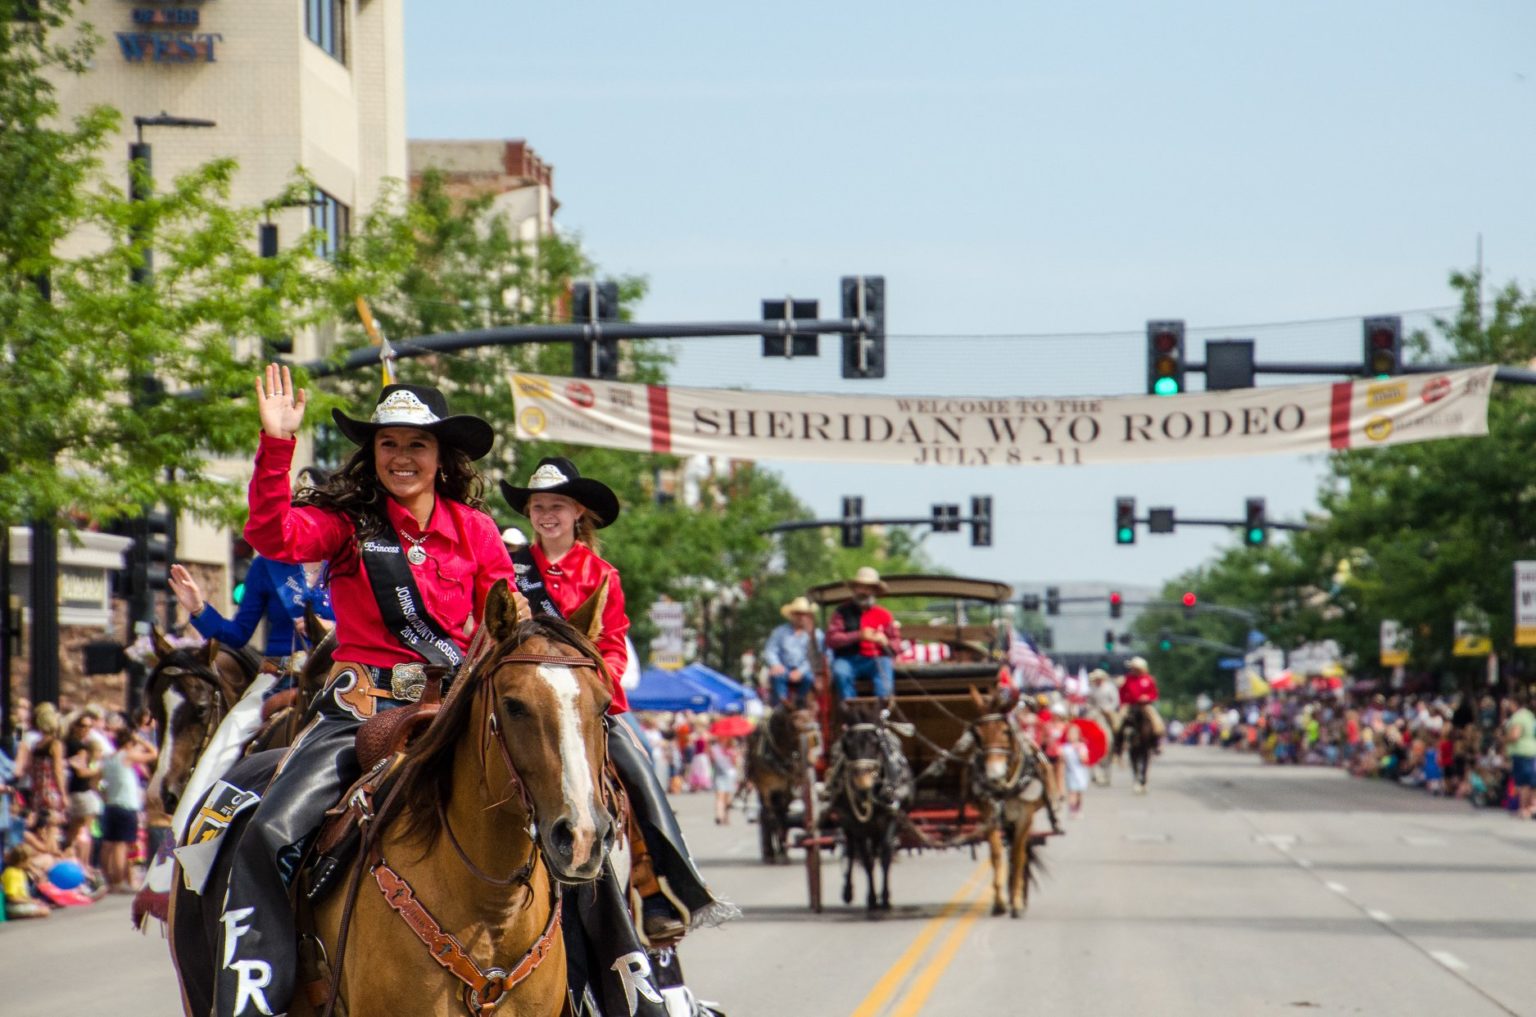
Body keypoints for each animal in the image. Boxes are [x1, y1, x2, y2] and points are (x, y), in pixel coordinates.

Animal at [740, 706, 817, 866]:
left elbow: (782, 816)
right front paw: (774, 852)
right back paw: (768, 851)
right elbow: (771, 817)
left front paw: (783, 851)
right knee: (765, 814)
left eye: (812, 716)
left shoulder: (786, 788)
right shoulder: (766, 788)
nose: (814, 739)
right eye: (796, 721)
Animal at [964, 688, 1050, 921]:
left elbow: (1019, 856)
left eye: (1005, 731)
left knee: (1020, 852)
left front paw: (1017, 902)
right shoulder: (989, 815)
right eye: (977, 734)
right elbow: (996, 856)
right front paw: (999, 902)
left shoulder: (1024, 817)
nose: (993, 774)